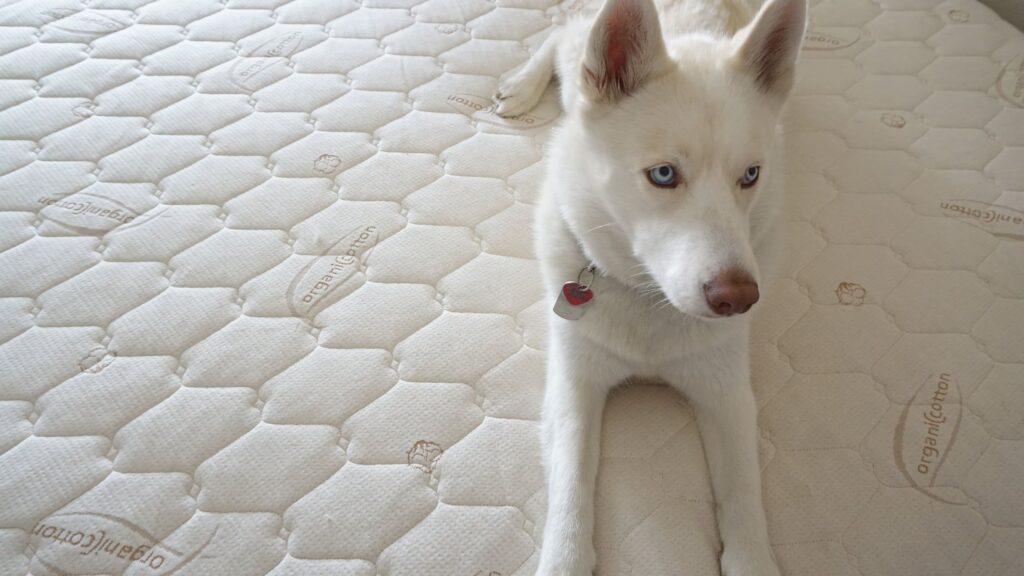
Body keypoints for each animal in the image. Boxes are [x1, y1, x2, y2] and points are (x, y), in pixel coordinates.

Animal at [495, 0, 806, 569]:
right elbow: (572, 481)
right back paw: (522, 85)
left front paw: (751, 558)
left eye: (751, 175)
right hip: (576, 64)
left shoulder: (727, 392)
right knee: (562, 33)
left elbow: (743, 492)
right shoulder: (573, 383)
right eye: (663, 175)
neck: (648, 300)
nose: (737, 299)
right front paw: (565, 558)